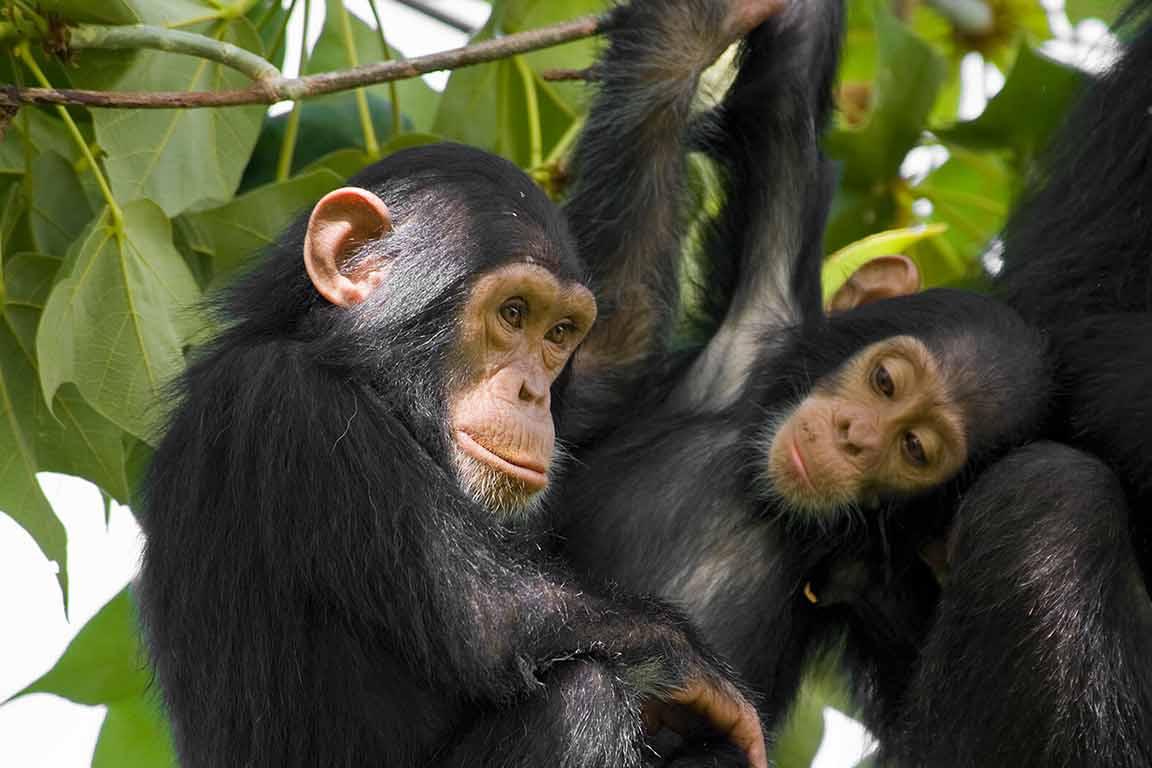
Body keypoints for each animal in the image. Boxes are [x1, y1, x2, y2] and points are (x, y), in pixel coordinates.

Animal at [134, 148, 778, 764]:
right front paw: (696, 668)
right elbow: (489, 619)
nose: (533, 393)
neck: (363, 377)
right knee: (582, 696)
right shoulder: (295, 408)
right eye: (513, 312)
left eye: (560, 332)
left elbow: (623, 346)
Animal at [552, 0, 1055, 755]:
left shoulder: (888, 582)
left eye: (913, 448)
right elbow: (781, 102)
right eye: (884, 383)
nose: (853, 437)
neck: (767, 499)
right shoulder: (761, 310)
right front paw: (704, 28)